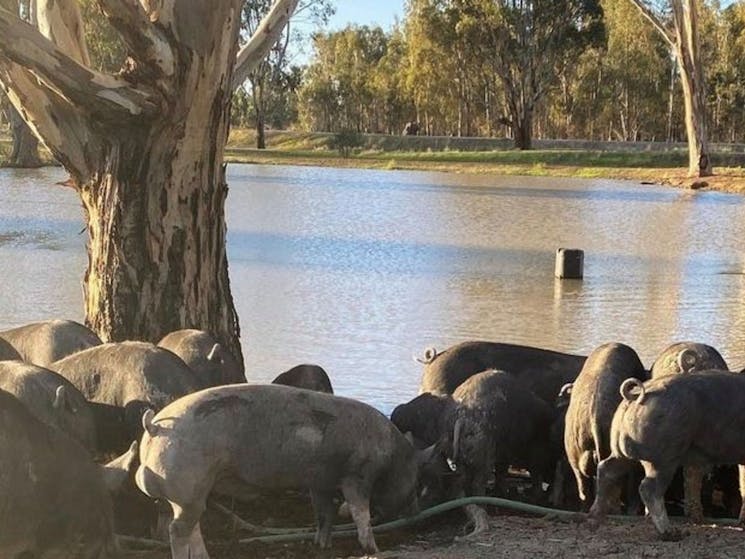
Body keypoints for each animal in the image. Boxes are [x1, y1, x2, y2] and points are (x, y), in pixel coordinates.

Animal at [136, 384, 428, 556]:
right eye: (415, 480)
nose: (417, 513)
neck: (390, 453)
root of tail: (156, 426)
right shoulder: (356, 475)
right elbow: (360, 513)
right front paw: (373, 549)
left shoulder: (319, 481)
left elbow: (324, 513)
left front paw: (322, 545)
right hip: (188, 484)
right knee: (178, 529)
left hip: (191, 492)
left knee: (192, 526)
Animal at [592, 372, 745, 540]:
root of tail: (637, 396)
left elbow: (743, 485)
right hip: (663, 457)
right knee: (649, 488)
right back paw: (672, 534)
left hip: (622, 453)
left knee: (605, 469)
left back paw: (594, 518)